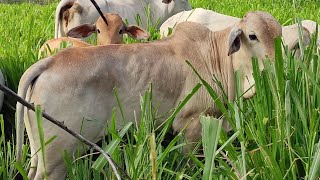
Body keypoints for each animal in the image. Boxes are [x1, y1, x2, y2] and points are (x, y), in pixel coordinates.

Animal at [16, 11, 282, 180]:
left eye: (278, 36)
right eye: (253, 36)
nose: (276, 65)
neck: (215, 56)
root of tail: (49, 62)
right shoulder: (190, 124)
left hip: (40, 154)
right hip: (57, 158)